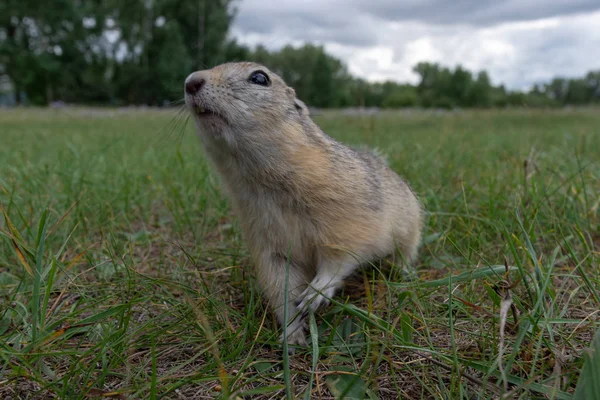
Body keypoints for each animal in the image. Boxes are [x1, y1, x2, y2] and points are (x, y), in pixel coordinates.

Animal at [183, 61, 422, 350]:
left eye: (260, 78)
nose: (191, 81)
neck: (261, 182)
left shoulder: (348, 225)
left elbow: (341, 257)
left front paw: (316, 292)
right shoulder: (269, 247)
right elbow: (281, 288)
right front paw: (292, 333)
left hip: (410, 231)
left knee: (405, 254)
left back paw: (403, 273)